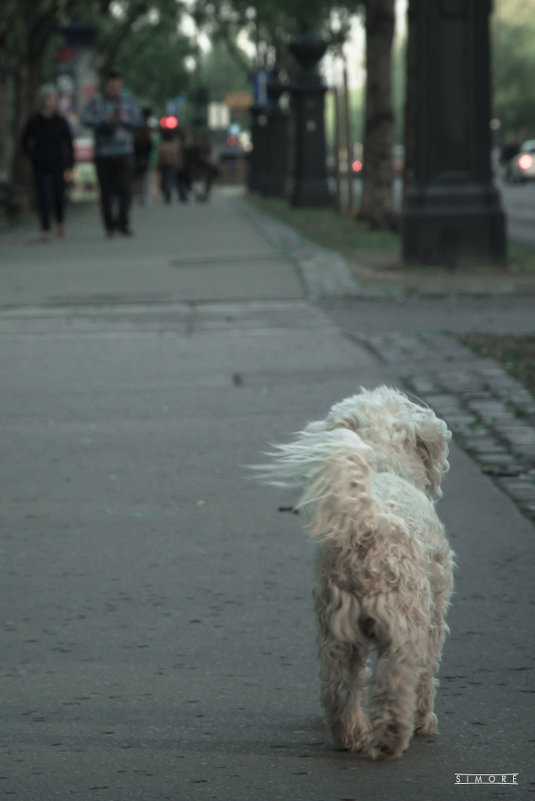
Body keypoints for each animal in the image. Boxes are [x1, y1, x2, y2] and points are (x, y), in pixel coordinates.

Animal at [260, 384, 456, 760]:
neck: (384, 465)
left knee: (339, 688)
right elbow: (428, 671)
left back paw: (350, 735)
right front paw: (425, 721)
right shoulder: (434, 615)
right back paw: (391, 738)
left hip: (336, 630)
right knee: (396, 683)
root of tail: (369, 525)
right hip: (404, 627)